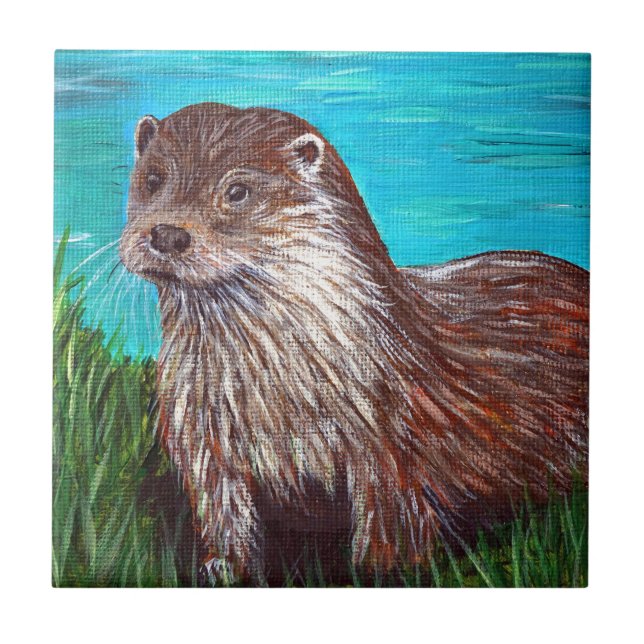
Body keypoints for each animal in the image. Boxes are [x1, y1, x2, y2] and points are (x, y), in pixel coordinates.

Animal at [119, 102, 588, 585]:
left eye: (237, 191)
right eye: (153, 178)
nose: (167, 234)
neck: (274, 392)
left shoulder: (391, 441)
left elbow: (388, 523)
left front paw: (379, 571)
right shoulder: (200, 436)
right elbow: (223, 512)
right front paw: (225, 567)